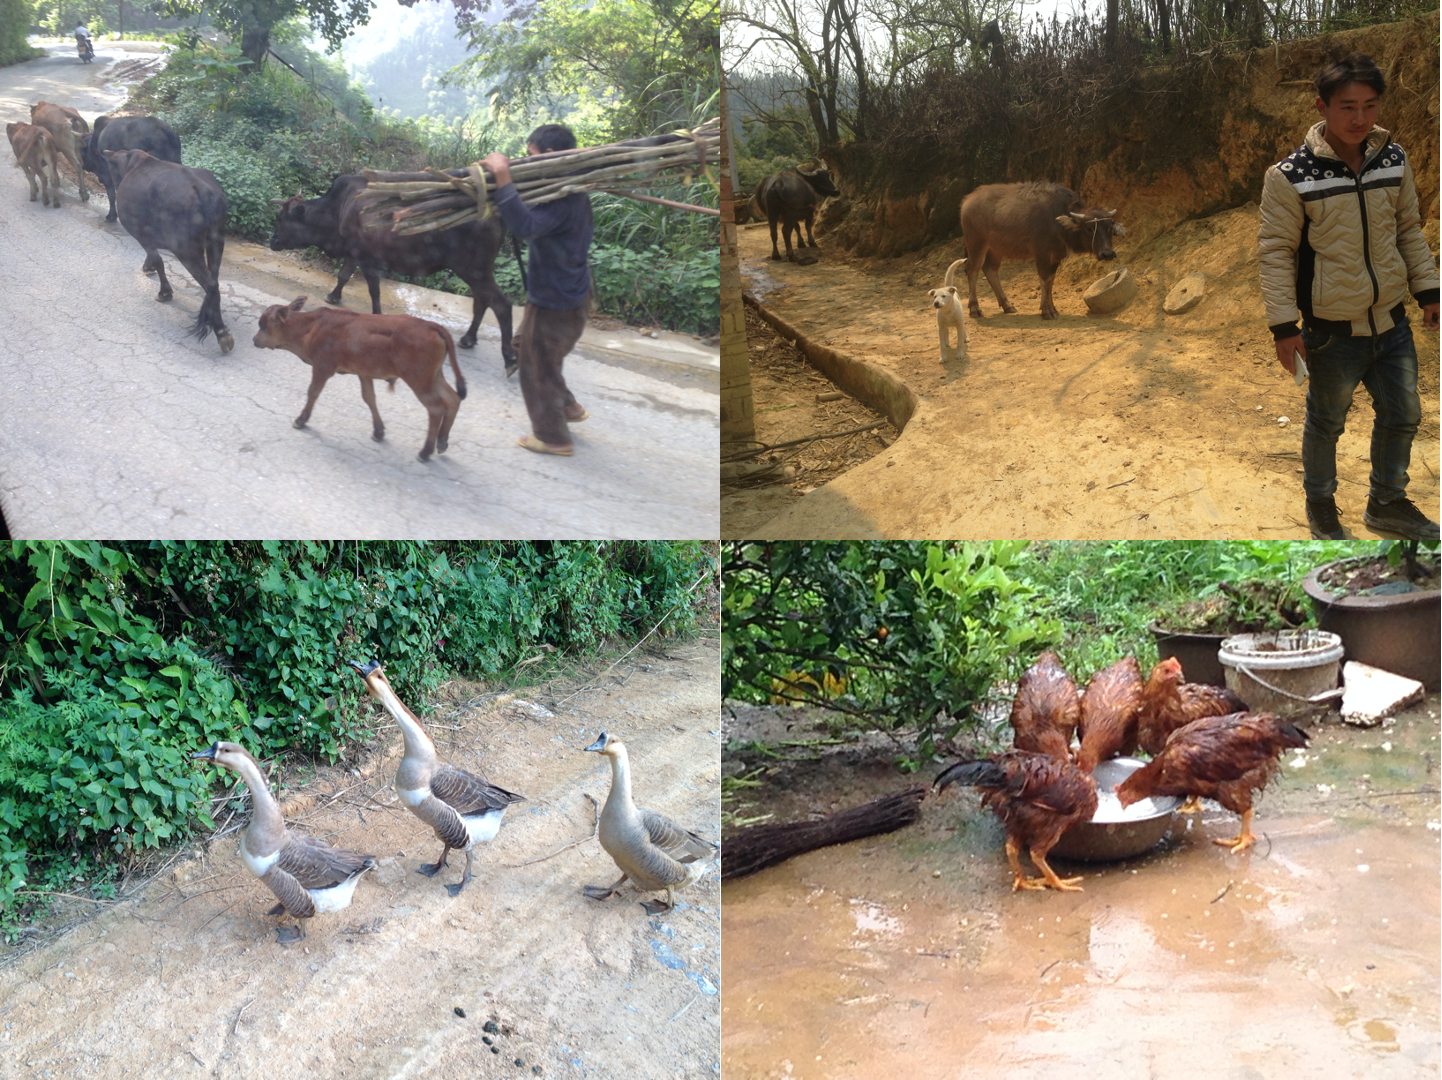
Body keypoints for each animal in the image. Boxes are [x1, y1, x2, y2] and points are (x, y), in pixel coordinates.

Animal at [105, 148, 233, 353]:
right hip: (216, 243)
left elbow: (157, 260)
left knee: (210, 284)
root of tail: (202, 189)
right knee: (214, 282)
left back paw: (221, 331)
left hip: (187, 252)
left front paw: (164, 291)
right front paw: (148, 268)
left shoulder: (143, 235)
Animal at [253, 297, 467, 461]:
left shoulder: (322, 367)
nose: (254, 340)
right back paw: (442, 442)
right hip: (434, 377)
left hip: (419, 381)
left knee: (436, 408)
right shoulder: (364, 373)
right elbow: (369, 398)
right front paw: (378, 432)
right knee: (453, 399)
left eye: (263, 325)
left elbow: (313, 392)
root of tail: (430, 325)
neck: (311, 327)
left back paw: (425, 452)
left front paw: (301, 420)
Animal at [271, 173, 519, 366]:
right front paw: (333, 296)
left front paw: (376, 316)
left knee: (501, 304)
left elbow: (374, 291)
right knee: (482, 302)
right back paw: (468, 338)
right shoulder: (354, 253)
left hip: (474, 270)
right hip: (476, 272)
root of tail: (495, 211)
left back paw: (509, 357)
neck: (338, 209)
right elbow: (343, 275)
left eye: (280, 217)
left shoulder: (368, 259)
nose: (272, 241)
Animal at [957, 180, 1124, 320]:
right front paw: (1046, 311)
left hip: (996, 248)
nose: (1108, 254)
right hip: (976, 243)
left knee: (990, 269)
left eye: (1109, 227)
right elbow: (1044, 279)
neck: (1057, 221)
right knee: (972, 269)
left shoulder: (1056, 256)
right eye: (1090, 228)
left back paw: (1007, 305)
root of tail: (967, 200)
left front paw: (1052, 308)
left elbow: (1051, 280)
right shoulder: (1041, 253)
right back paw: (975, 309)